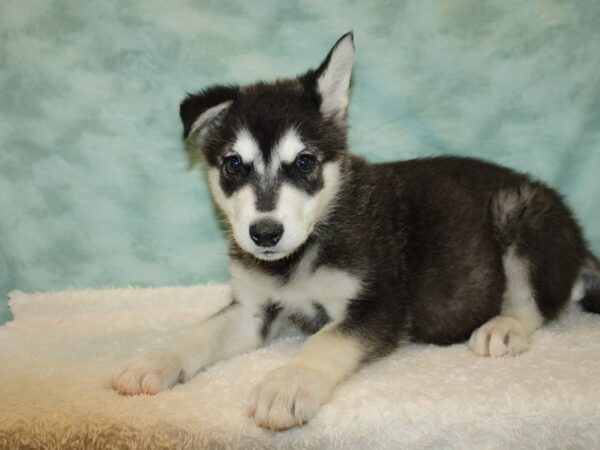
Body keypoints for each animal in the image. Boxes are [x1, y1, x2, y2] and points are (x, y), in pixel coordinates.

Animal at [115, 32, 600, 432]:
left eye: (305, 162)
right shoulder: (252, 309)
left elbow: (325, 342)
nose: (265, 234)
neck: (306, 248)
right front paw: (157, 360)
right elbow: (201, 332)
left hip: (520, 212)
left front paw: (288, 382)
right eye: (234, 165)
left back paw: (504, 327)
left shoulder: (379, 304)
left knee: (536, 302)